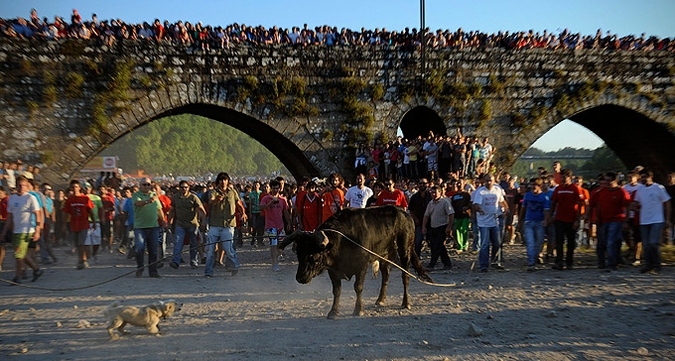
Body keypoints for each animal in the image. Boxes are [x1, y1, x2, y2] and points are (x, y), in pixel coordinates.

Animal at [280, 205, 434, 318]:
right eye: (299, 254)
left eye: (313, 256)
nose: (300, 278)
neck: (344, 240)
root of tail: (406, 214)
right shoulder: (333, 270)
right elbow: (337, 290)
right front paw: (333, 312)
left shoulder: (362, 266)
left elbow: (358, 287)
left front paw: (358, 309)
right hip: (384, 255)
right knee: (385, 275)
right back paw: (380, 300)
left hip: (405, 250)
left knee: (405, 276)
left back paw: (406, 302)